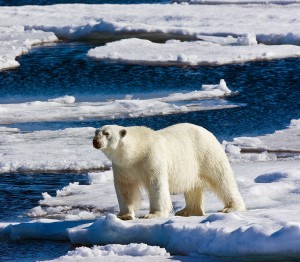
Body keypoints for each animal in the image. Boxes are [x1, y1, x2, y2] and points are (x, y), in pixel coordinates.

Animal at [92, 124, 245, 220]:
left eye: (107, 134)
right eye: (96, 133)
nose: (95, 142)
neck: (136, 151)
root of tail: (207, 132)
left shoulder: (151, 157)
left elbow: (156, 184)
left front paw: (152, 214)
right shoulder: (123, 167)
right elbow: (125, 188)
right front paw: (124, 215)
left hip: (206, 153)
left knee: (222, 178)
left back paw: (230, 208)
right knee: (193, 187)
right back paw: (187, 211)